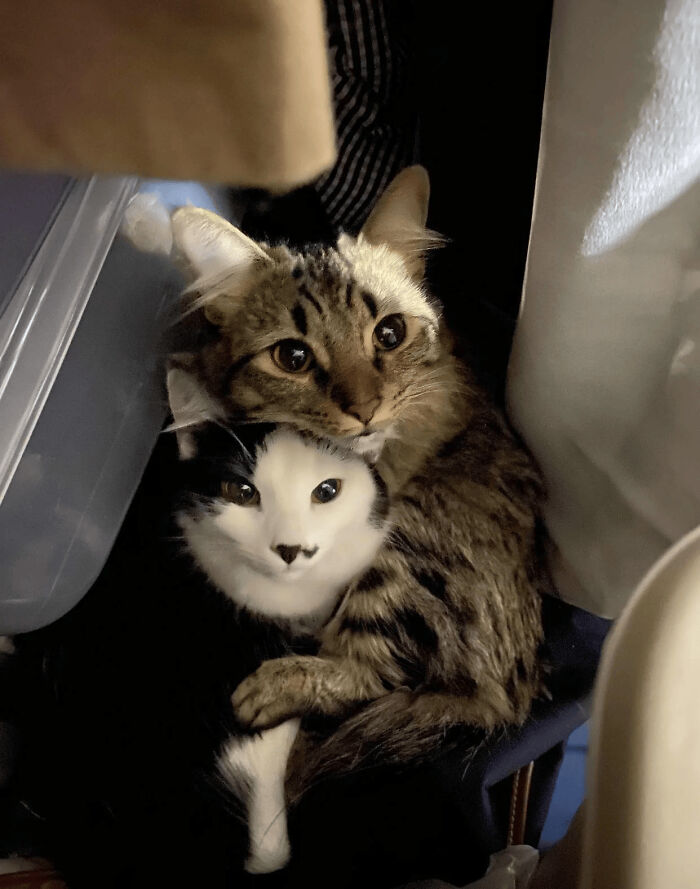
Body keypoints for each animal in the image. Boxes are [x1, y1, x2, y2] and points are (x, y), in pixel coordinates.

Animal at [171, 166, 548, 792]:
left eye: (390, 333)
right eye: (293, 357)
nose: (366, 410)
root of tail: (511, 703)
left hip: (404, 549)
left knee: (376, 675)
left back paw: (271, 687)